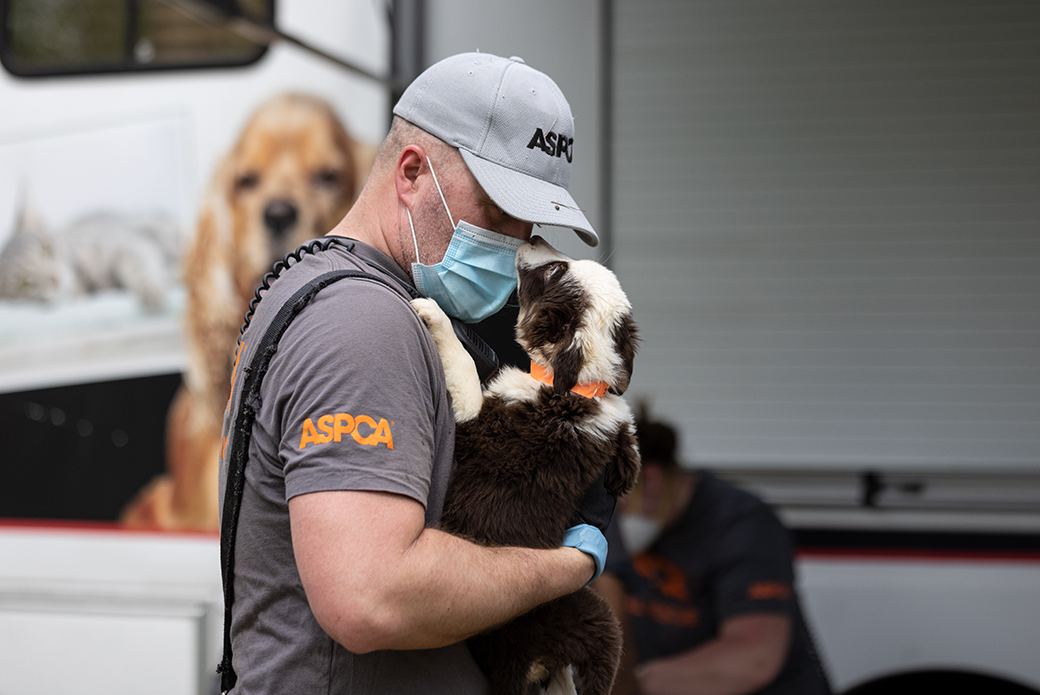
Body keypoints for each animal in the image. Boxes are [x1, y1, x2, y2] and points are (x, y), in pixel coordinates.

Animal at [409, 235, 636, 695]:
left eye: (553, 272)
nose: (533, 237)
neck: (574, 385)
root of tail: (536, 660)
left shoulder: (478, 429)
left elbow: (462, 369)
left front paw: (434, 314)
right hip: (600, 623)